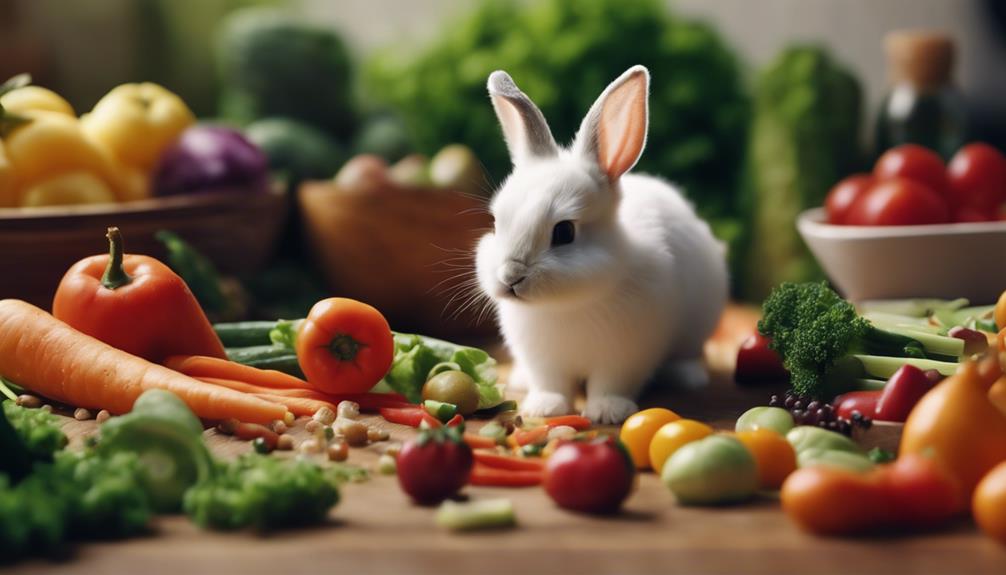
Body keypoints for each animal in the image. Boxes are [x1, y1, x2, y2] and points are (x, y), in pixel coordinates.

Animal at [475, 65, 728, 424]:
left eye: (564, 232)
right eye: (496, 222)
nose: (510, 276)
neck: (566, 306)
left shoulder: (626, 355)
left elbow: (611, 384)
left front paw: (608, 412)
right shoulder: (543, 358)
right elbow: (551, 383)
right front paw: (545, 407)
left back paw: (686, 377)